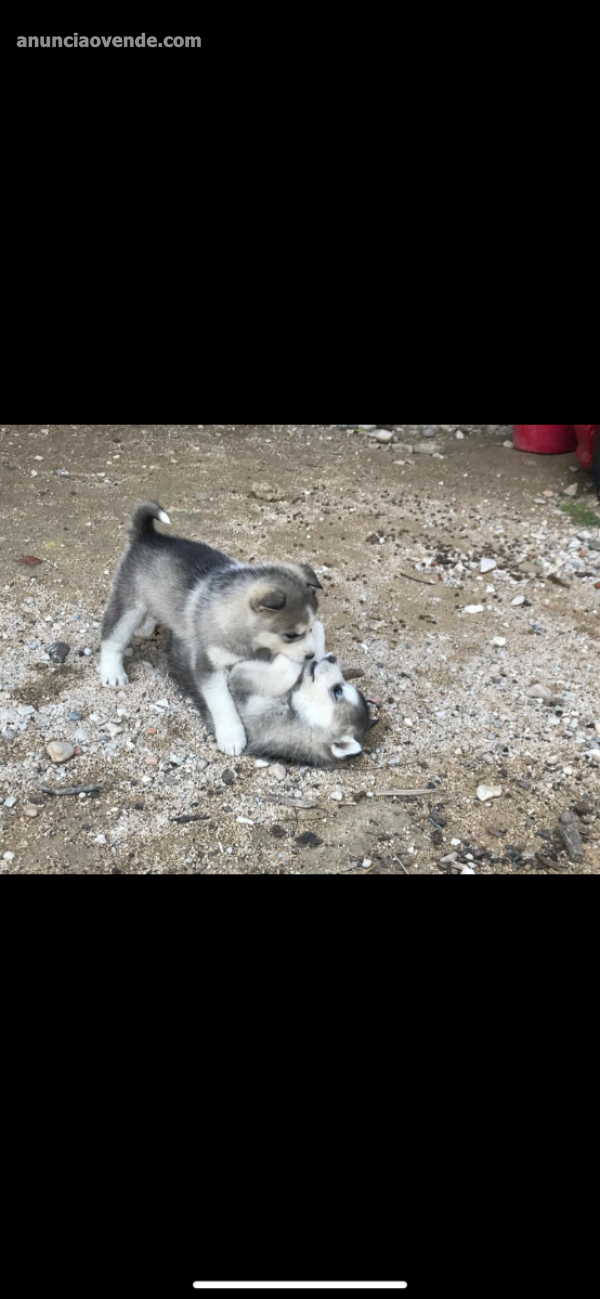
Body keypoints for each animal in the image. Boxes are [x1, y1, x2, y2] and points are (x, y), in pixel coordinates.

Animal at [99, 501, 323, 758]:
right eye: (291, 635)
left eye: (311, 627)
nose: (311, 655)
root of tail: (148, 536)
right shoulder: (208, 666)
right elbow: (222, 702)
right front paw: (232, 736)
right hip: (131, 606)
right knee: (112, 637)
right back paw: (112, 672)